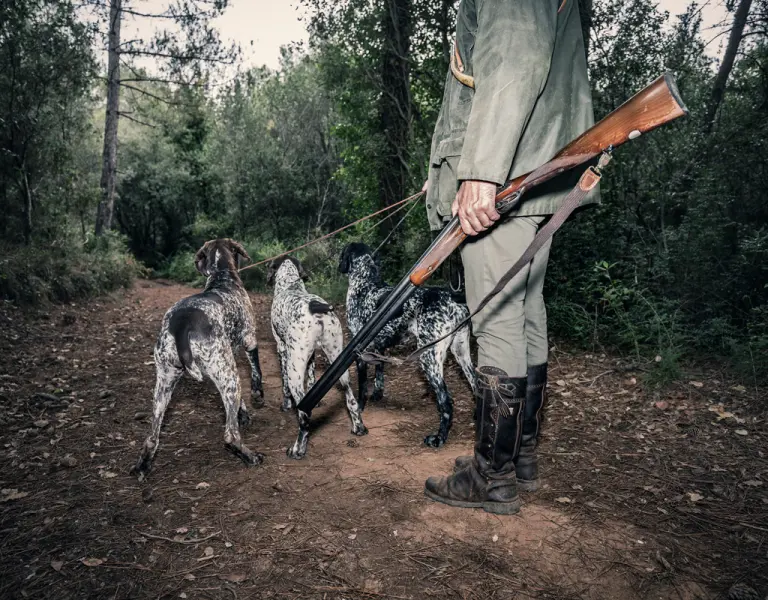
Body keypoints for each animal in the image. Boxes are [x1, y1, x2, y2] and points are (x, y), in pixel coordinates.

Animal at [132, 237, 264, 480]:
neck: (222, 277)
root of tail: (181, 324)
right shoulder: (250, 341)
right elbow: (256, 374)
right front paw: (257, 398)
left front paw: (242, 413)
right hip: (228, 376)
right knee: (230, 435)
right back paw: (250, 457)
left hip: (165, 384)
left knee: (152, 437)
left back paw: (143, 465)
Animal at [340, 243, 476, 446]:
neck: (365, 285)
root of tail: (452, 296)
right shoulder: (379, 348)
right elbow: (379, 373)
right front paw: (377, 395)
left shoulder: (359, 354)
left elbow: (362, 387)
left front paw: (360, 408)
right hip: (461, 353)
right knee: (477, 385)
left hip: (429, 359)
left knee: (446, 402)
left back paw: (439, 437)